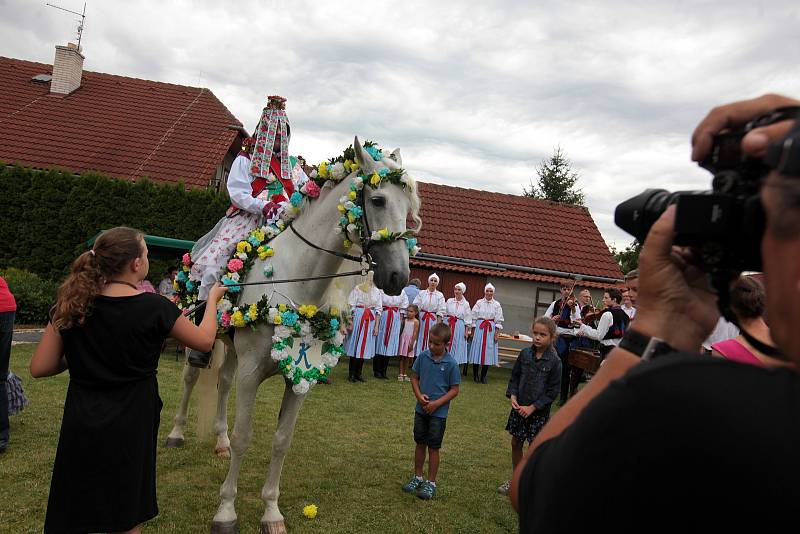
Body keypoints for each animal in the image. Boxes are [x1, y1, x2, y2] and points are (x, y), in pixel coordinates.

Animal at [175, 139, 418, 534]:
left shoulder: (300, 378)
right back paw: (177, 434)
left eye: (409, 207)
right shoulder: (251, 375)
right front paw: (226, 511)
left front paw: (271, 513)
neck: (296, 281)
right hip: (197, 339)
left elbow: (281, 441)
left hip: (232, 349)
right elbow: (245, 438)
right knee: (191, 378)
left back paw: (219, 441)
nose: (398, 277)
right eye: (379, 200)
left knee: (222, 383)